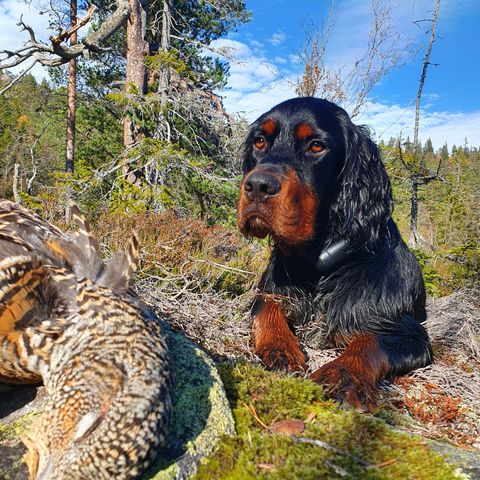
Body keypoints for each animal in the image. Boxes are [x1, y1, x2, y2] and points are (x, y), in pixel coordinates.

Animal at [238, 97, 434, 404]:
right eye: (259, 141)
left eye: (316, 146)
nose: (258, 185)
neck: (318, 266)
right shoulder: (271, 288)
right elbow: (266, 306)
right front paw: (281, 348)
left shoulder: (411, 334)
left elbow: (370, 339)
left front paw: (342, 372)